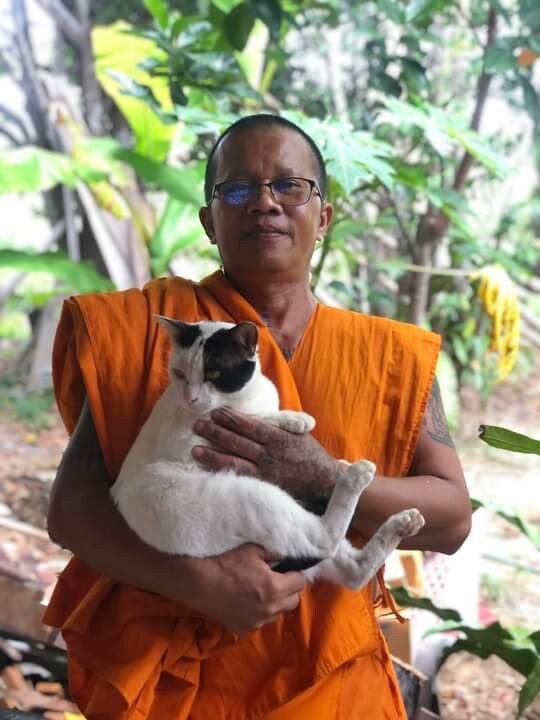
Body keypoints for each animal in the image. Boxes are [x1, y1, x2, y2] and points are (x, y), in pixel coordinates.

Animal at [112, 318, 424, 588]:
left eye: (213, 374)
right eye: (179, 373)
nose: (190, 398)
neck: (246, 396)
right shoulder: (190, 439)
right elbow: (244, 417)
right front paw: (296, 419)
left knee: (354, 572)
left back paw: (403, 522)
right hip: (250, 497)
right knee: (324, 539)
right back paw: (356, 474)